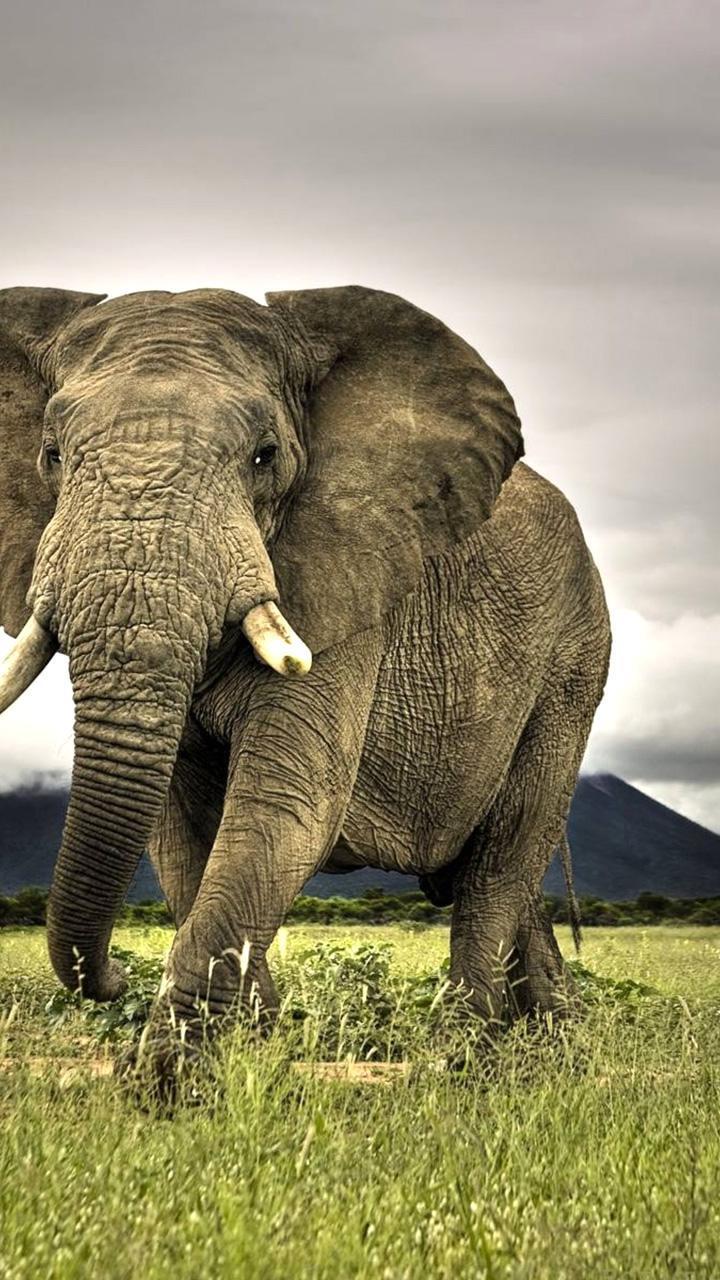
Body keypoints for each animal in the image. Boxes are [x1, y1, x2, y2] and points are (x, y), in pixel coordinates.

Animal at [0, 284, 610, 1088]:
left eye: (266, 457)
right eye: (51, 455)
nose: (113, 978)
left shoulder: (348, 589)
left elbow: (285, 805)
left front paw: (170, 1088)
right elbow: (181, 833)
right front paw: (249, 1055)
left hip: (573, 663)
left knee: (501, 862)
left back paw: (463, 1064)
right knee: (502, 877)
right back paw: (554, 1051)